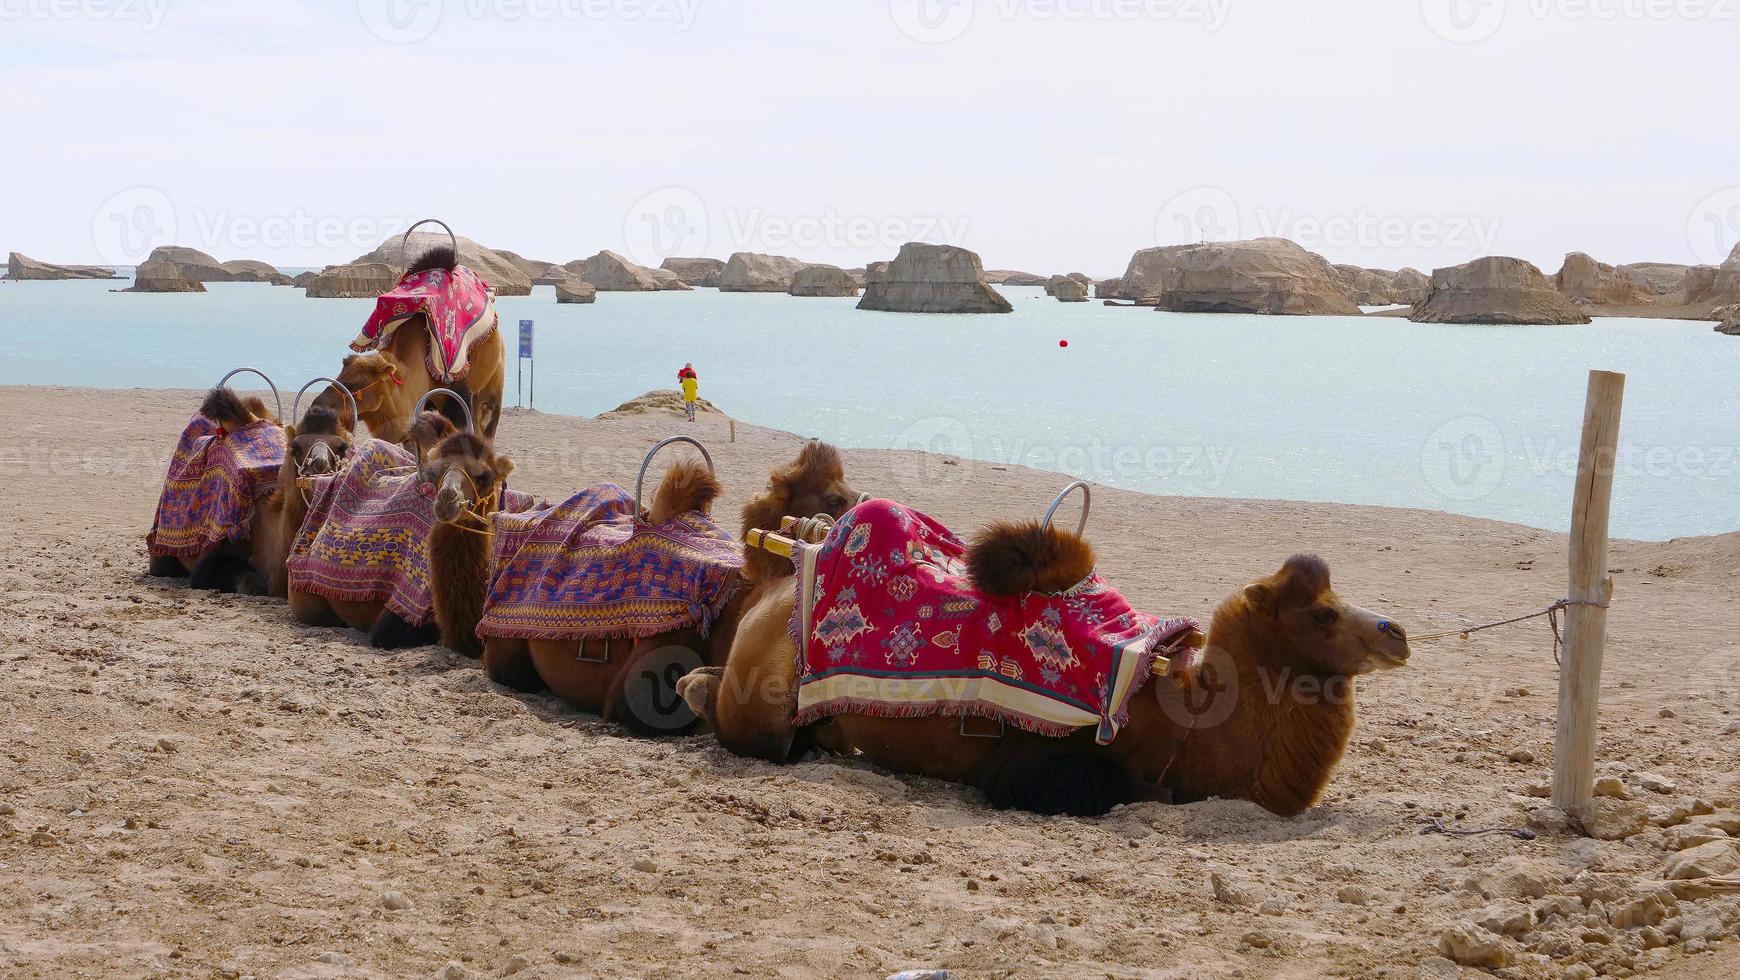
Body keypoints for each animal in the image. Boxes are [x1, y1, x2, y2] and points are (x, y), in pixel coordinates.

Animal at [314, 247, 508, 445]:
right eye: (339, 376)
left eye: (352, 385)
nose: (317, 406)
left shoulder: (457, 399)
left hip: (492, 388)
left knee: (488, 425)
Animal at [678, 511, 1412, 818]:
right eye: (1321, 614)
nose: (1395, 632)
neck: (1191, 725)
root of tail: (792, 559)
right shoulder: (1036, 767)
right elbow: (1119, 788)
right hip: (767, 709)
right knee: (760, 732)